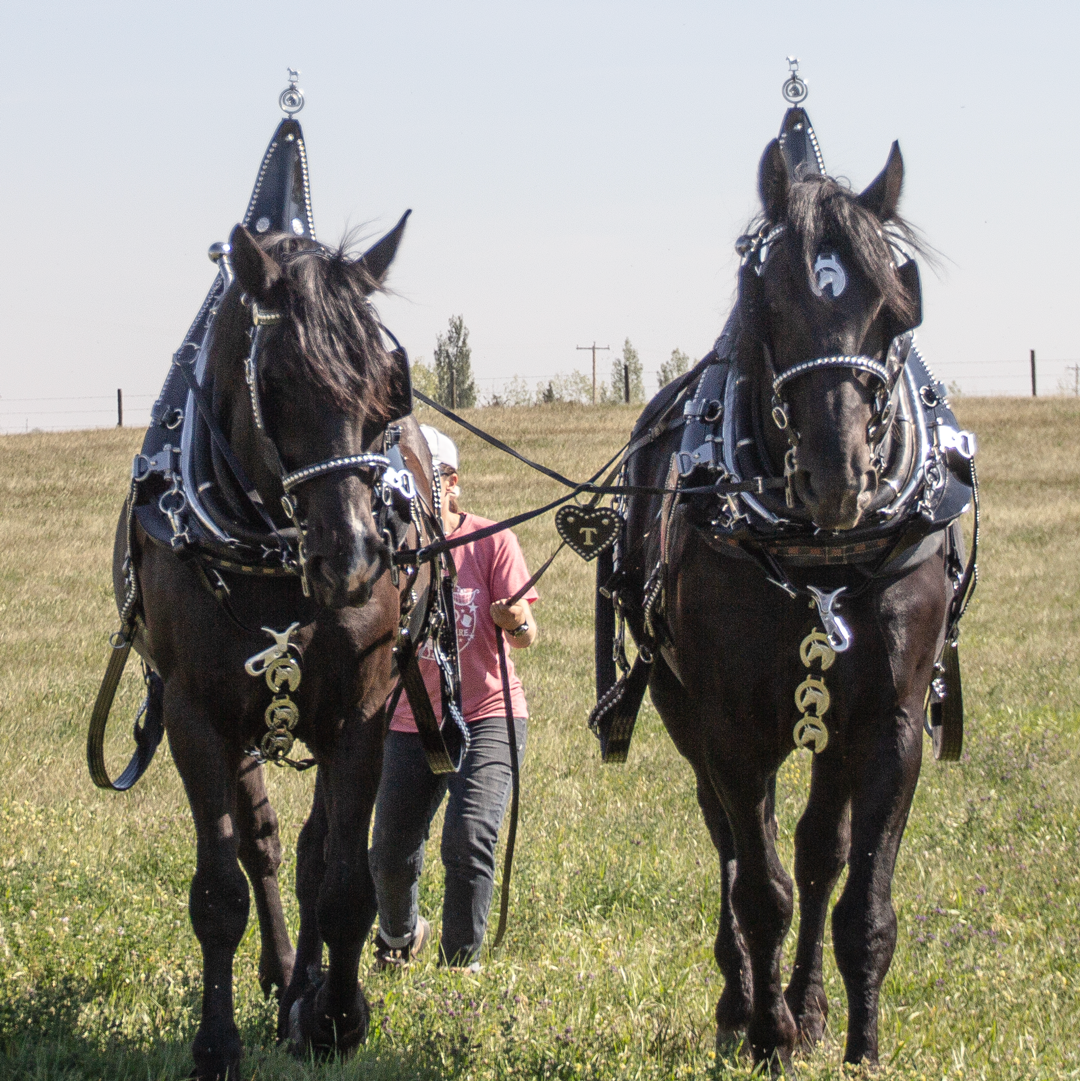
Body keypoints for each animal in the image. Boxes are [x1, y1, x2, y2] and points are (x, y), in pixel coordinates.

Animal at [109, 223, 430, 1076]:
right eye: (279, 379)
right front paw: (217, 1040)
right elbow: (222, 886)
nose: (353, 558)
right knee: (263, 848)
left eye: (388, 386)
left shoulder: (361, 711)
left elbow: (346, 881)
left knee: (317, 853)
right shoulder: (196, 718)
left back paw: (305, 992)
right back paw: (283, 974)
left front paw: (336, 1019)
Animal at [622, 139, 959, 1068]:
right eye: (768, 297)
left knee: (816, 851)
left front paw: (858, 1042)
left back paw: (806, 1003)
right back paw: (745, 1001)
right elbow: (759, 887)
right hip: (684, 710)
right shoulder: (732, 728)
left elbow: (857, 893)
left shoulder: (889, 723)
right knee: (734, 844)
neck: (820, 557)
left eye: (892, 305)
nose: (837, 475)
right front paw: (767, 1033)